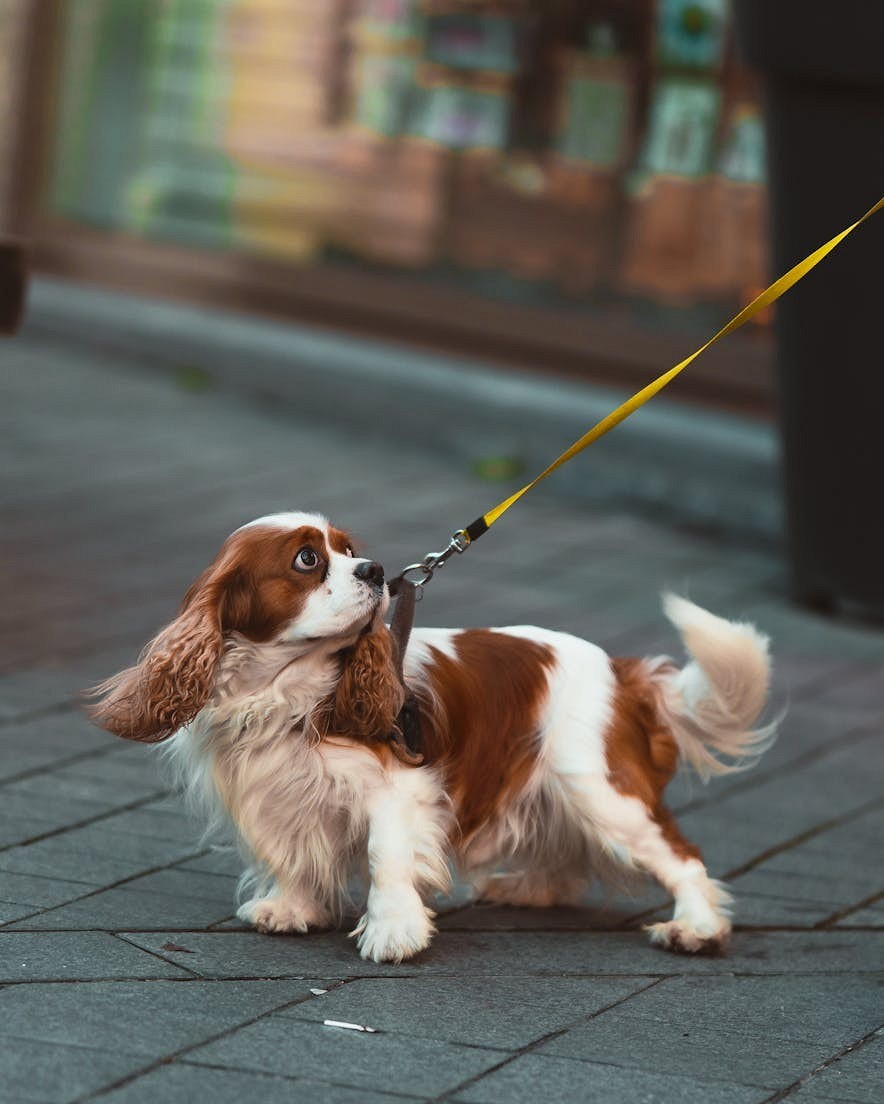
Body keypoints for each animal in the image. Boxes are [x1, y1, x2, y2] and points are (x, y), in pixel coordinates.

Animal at [89, 512, 772, 962]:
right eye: (308, 559)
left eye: (350, 549)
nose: (375, 569)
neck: (288, 689)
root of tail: (620, 669)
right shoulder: (276, 788)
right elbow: (291, 852)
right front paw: (292, 907)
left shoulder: (398, 792)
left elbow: (383, 856)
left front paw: (392, 932)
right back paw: (528, 890)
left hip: (600, 789)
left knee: (681, 855)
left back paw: (697, 927)